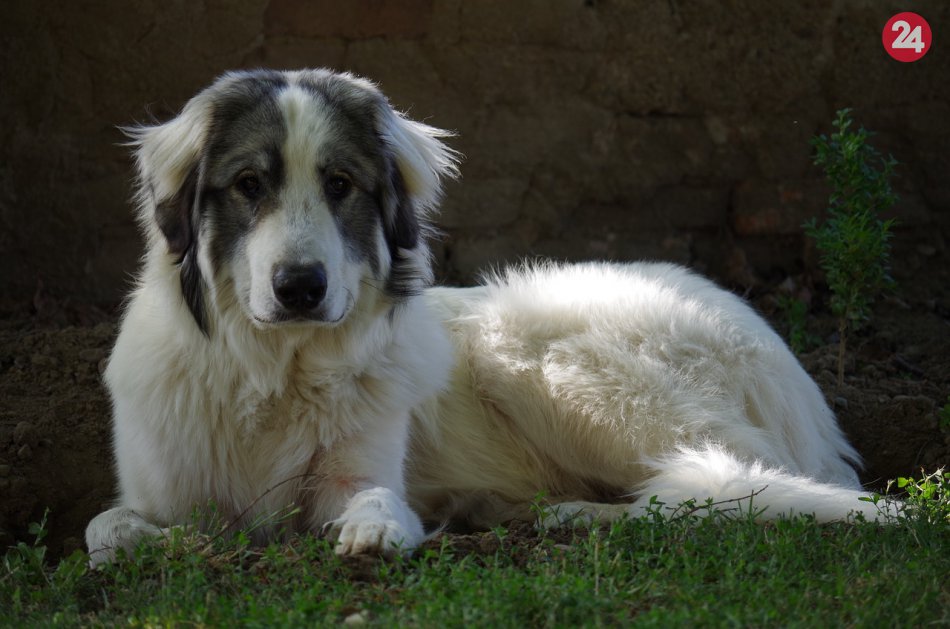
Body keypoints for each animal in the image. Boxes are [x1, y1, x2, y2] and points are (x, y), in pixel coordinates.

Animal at [86, 68, 884, 565]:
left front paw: (375, 529)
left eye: (340, 184)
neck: (275, 372)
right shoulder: (159, 491)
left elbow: (375, 496)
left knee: (722, 482)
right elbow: (106, 526)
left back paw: (568, 515)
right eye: (249, 184)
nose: (301, 287)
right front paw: (151, 544)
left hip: (538, 353)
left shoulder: (360, 468)